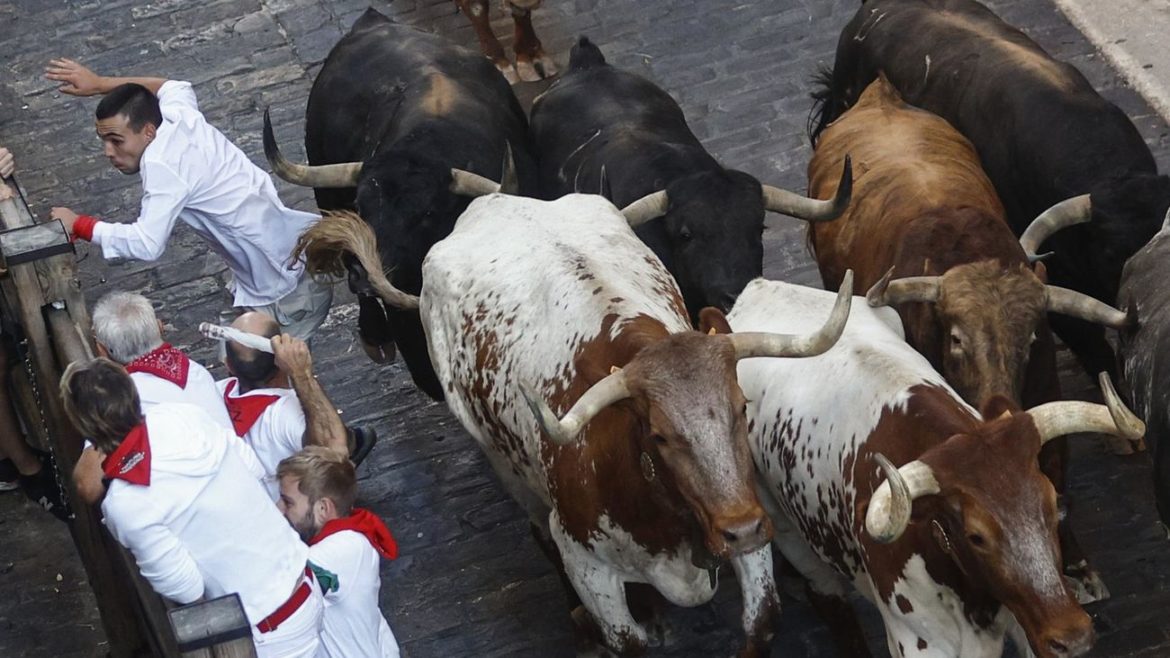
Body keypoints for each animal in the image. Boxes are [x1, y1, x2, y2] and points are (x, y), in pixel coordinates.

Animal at [809, 75, 1127, 599]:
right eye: (956, 338)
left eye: (1032, 339)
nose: (1001, 405)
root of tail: (877, 94)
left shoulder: (1043, 396)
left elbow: (1053, 467)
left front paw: (1078, 566)